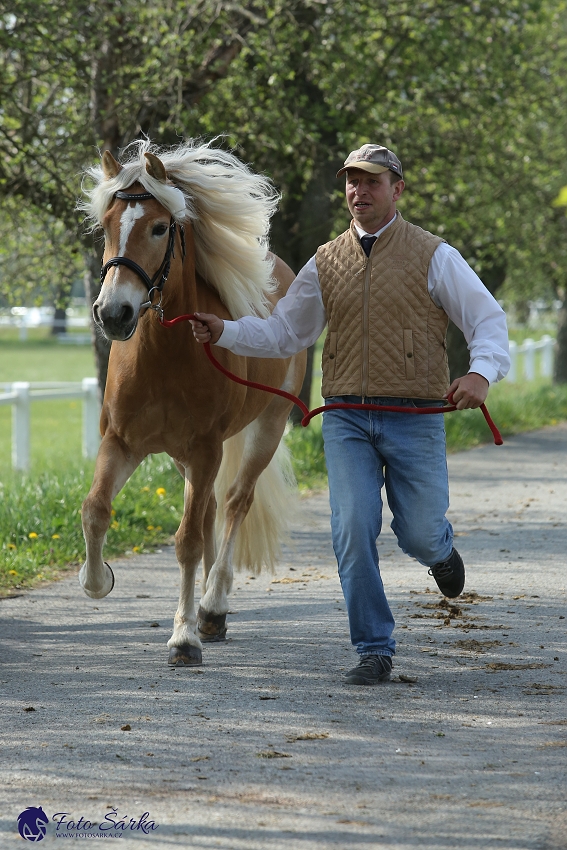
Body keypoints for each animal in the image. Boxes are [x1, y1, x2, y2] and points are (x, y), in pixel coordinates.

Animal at [78, 139, 308, 664]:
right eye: (107, 225)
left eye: (160, 227)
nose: (113, 313)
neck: (166, 355)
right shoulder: (121, 442)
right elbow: (96, 509)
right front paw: (97, 580)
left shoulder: (206, 449)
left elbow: (186, 541)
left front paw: (183, 638)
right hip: (186, 458)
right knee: (207, 514)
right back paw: (206, 610)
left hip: (263, 430)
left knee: (235, 504)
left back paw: (213, 607)